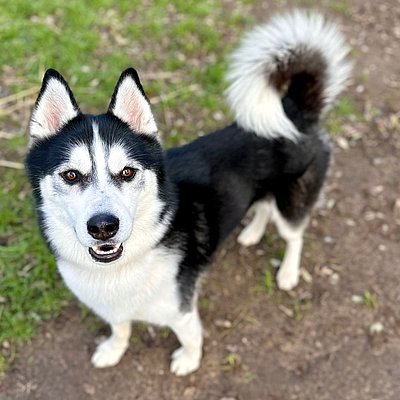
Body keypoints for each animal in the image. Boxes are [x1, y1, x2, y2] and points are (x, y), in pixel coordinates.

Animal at [26, 11, 351, 376]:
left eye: (127, 172)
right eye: (71, 175)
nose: (103, 227)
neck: (120, 267)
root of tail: (295, 111)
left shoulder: (180, 309)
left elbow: (191, 335)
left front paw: (189, 361)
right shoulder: (114, 308)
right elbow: (120, 328)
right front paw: (113, 350)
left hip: (292, 202)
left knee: (294, 235)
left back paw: (288, 273)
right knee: (264, 206)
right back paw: (251, 233)